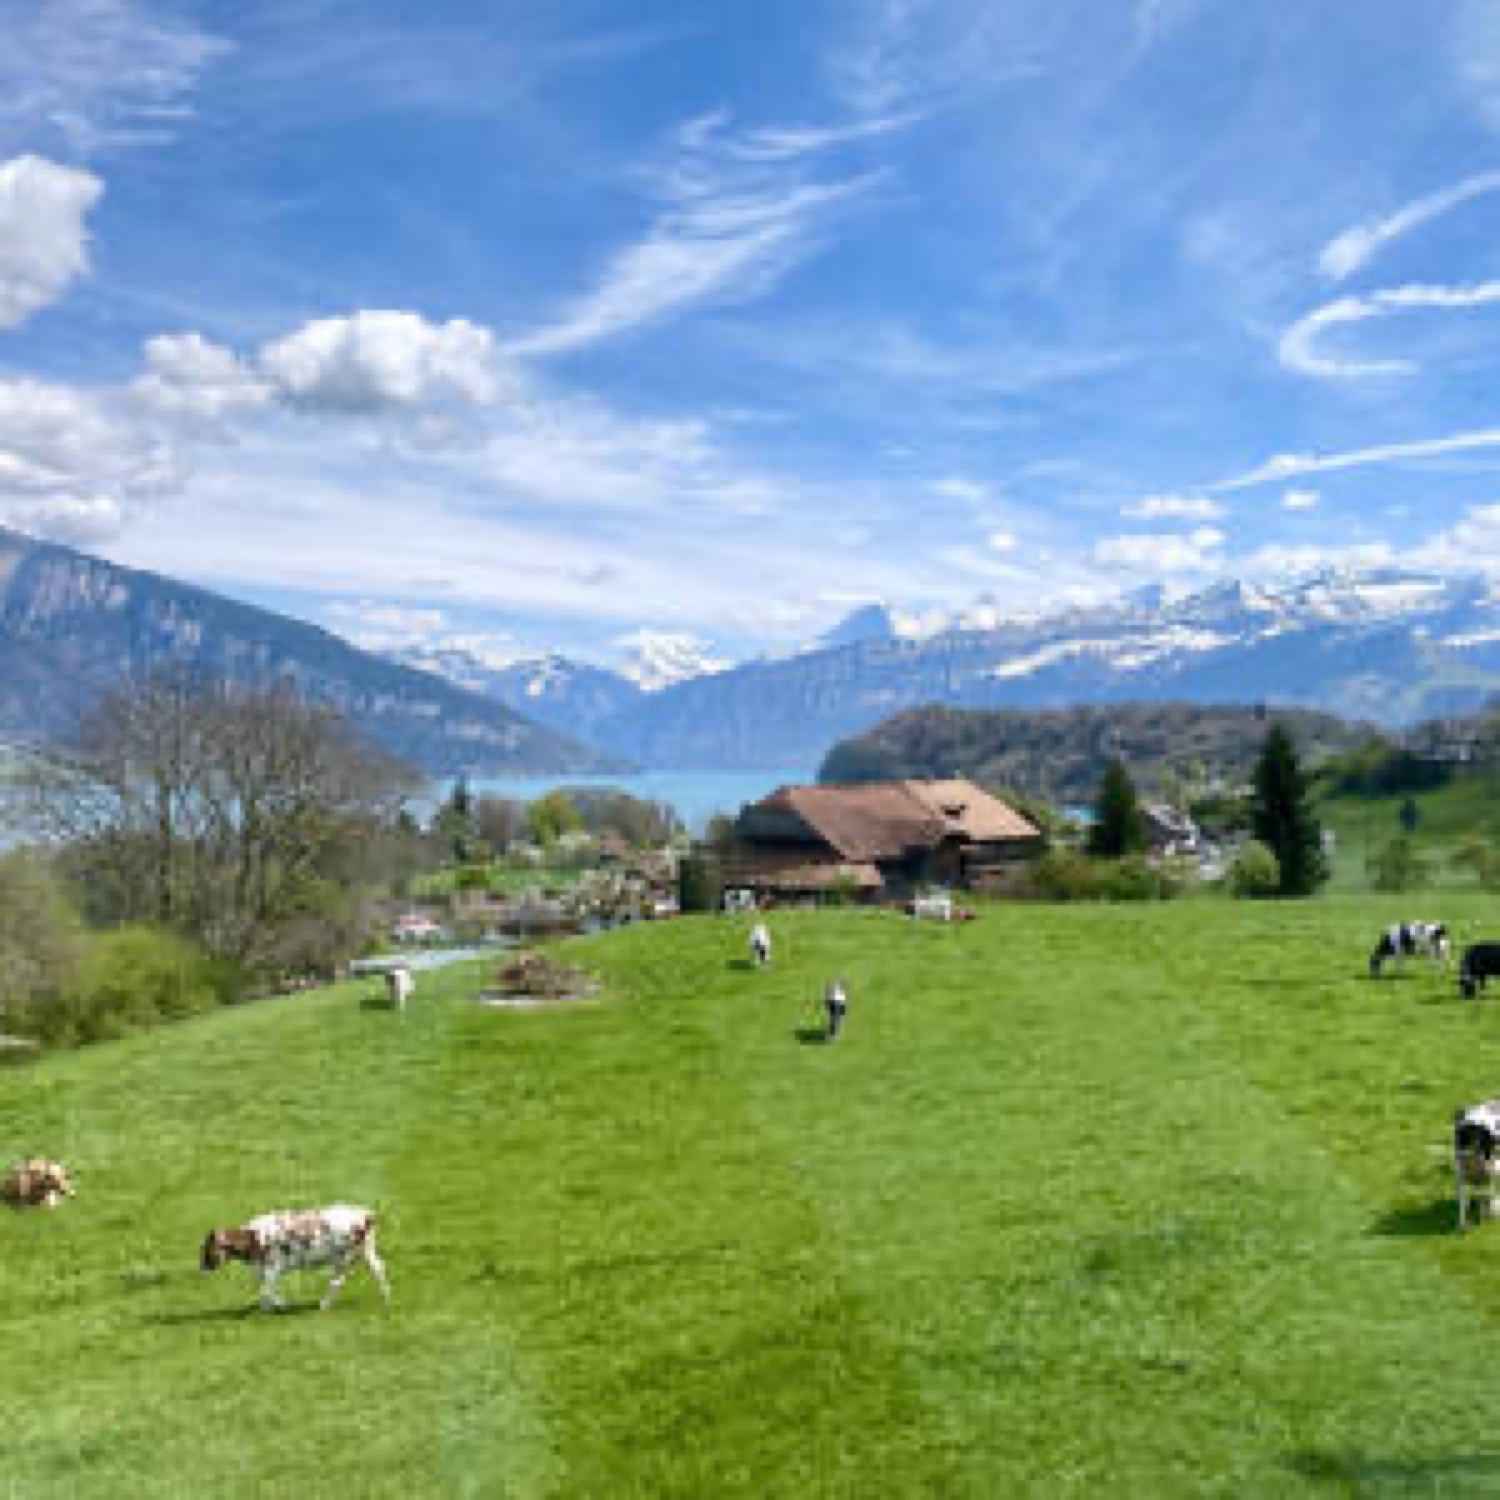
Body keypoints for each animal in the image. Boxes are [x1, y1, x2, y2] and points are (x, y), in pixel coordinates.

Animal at [204, 1206, 393, 1314]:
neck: (254, 1237)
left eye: (207, 1248)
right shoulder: (264, 1269)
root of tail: (365, 1215)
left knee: (337, 1281)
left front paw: (279, 1305)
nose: (203, 1266)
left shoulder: (273, 1266)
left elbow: (266, 1289)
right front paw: (267, 1309)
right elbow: (265, 1288)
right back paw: (386, 1297)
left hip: (342, 1257)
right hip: (367, 1250)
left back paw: (323, 1306)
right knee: (379, 1268)